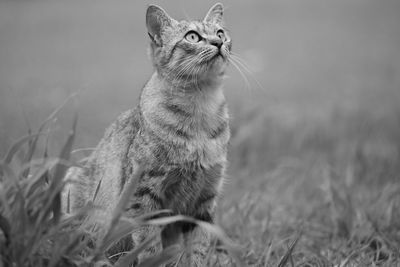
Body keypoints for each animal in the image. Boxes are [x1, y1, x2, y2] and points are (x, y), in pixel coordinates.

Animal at [62, 2, 231, 266]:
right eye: (193, 36)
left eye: (221, 33)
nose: (218, 43)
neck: (201, 111)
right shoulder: (144, 195)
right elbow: (149, 246)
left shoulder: (204, 199)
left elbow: (198, 247)